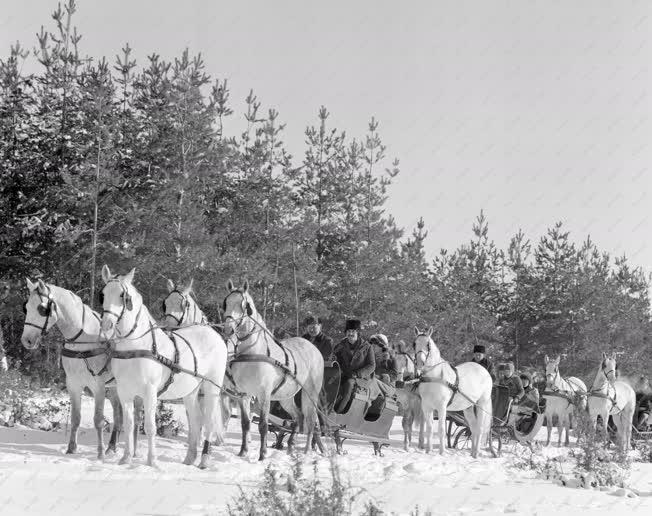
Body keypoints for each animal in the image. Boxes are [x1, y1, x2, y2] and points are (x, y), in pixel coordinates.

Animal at [20, 280, 136, 458]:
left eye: (42, 309)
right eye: (25, 307)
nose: (27, 340)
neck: (84, 340)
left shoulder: (98, 387)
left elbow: (98, 420)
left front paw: (100, 453)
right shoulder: (73, 385)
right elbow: (75, 418)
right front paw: (71, 448)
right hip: (114, 388)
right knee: (118, 415)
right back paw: (112, 447)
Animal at [97, 266, 227, 468]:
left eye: (123, 296)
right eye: (102, 294)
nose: (107, 325)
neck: (136, 346)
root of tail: (213, 333)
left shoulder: (149, 392)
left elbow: (150, 426)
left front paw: (152, 461)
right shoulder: (124, 391)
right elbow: (128, 425)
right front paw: (126, 458)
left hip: (212, 387)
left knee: (208, 422)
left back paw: (204, 459)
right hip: (191, 390)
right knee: (196, 420)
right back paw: (189, 458)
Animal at [162, 276, 253, 454]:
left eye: (184, 304)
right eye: (166, 303)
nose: (168, 327)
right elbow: (192, 415)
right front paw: (195, 440)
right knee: (226, 413)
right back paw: (219, 440)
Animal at [222, 280, 324, 462]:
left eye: (245, 306)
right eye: (225, 303)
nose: (228, 329)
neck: (254, 351)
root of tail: (312, 347)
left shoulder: (264, 394)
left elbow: (262, 425)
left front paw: (262, 455)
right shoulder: (243, 394)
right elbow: (245, 424)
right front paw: (243, 452)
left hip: (310, 393)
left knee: (311, 421)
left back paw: (306, 451)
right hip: (286, 397)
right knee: (298, 417)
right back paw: (290, 447)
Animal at [416, 326, 492, 456]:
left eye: (428, 344)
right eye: (414, 343)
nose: (420, 363)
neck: (434, 377)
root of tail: (484, 370)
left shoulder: (441, 407)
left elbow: (441, 429)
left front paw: (442, 452)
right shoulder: (426, 406)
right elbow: (429, 429)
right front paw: (428, 451)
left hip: (482, 403)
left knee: (480, 428)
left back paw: (476, 453)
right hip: (468, 407)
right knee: (474, 428)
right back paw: (472, 453)